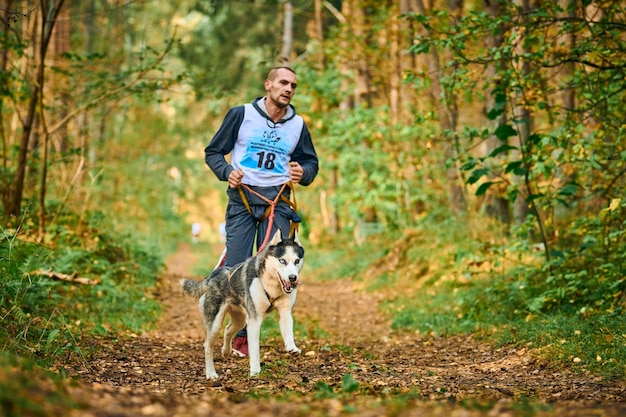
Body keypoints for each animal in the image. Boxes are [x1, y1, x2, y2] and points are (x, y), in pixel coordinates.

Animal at [179, 229, 304, 378]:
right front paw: (255, 371)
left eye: (297, 261)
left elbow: (289, 331)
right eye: (282, 260)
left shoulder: (285, 312)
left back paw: (226, 351)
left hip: (241, 320)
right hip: (216, 323)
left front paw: (292, 347)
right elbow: (254, 349)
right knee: (208, 346)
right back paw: (211, 373)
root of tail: (213, 275)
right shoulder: (254, 320)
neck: (271, 283)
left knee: (228, 330)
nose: (293, 278)